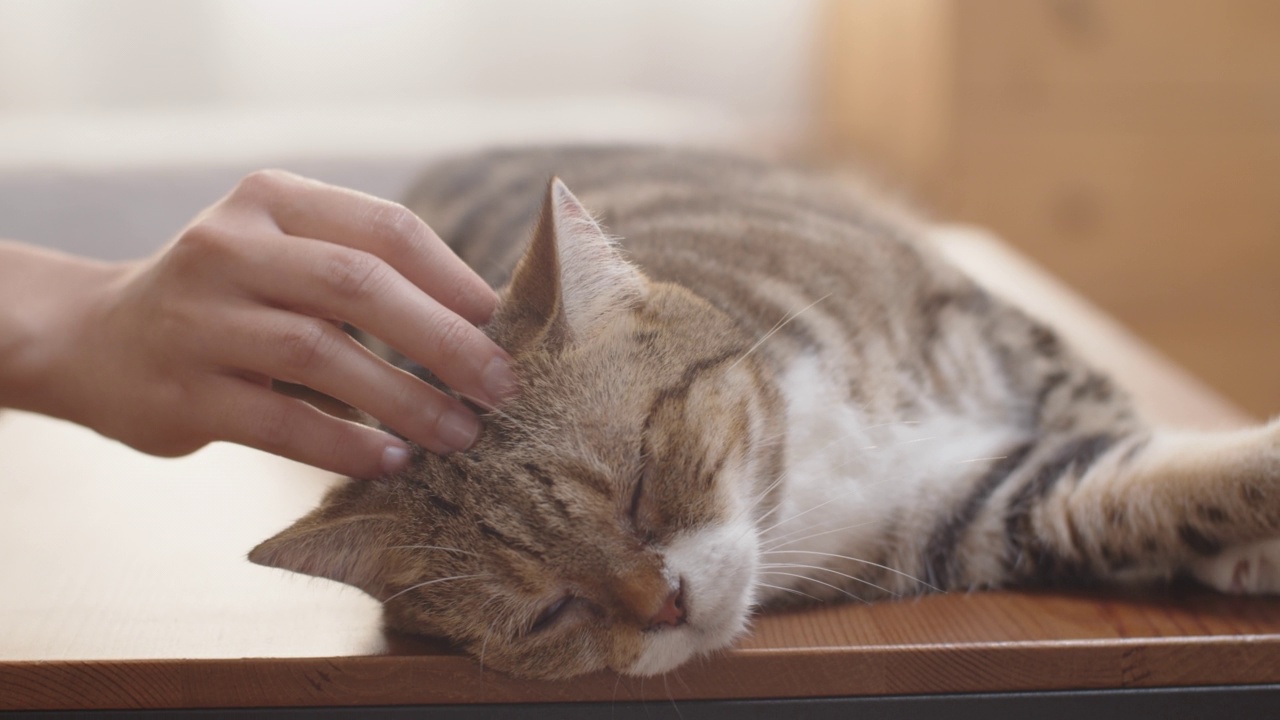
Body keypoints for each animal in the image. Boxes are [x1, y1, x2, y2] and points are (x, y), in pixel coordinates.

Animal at [247, 147, 1280, 676]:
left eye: (642, 487)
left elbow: (1114, 424)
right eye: (551, 612)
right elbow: (1126, 493)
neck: (798, 466)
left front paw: (1239, 548)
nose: (663, 605)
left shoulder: (988, 329)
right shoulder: (970, 511)